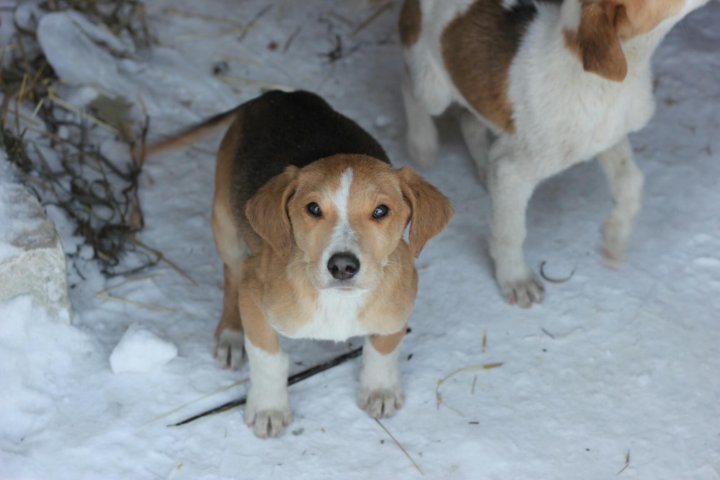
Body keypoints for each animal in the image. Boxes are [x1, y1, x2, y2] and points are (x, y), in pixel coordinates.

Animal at [149, 91, 452, 438]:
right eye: (313, 209)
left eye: (381, 211)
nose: (342, 266)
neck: (337, 301)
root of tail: (278, 95)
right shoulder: (253, 295)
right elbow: (268, 357)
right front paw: (268, 408)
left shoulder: (398, 306)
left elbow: (383, 348)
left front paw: (380, 389)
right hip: (225, 224)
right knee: (231, 276)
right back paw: (230, 335)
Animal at [402, 0, 712, 308]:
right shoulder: (512, 170)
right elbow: (510, 232)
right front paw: (516, 279)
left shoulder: (608, 139)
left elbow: (631, 184)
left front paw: (614, 240)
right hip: (433, 89)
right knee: (412, 94)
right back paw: (422, 143)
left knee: (469, 119)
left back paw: (482, 167)